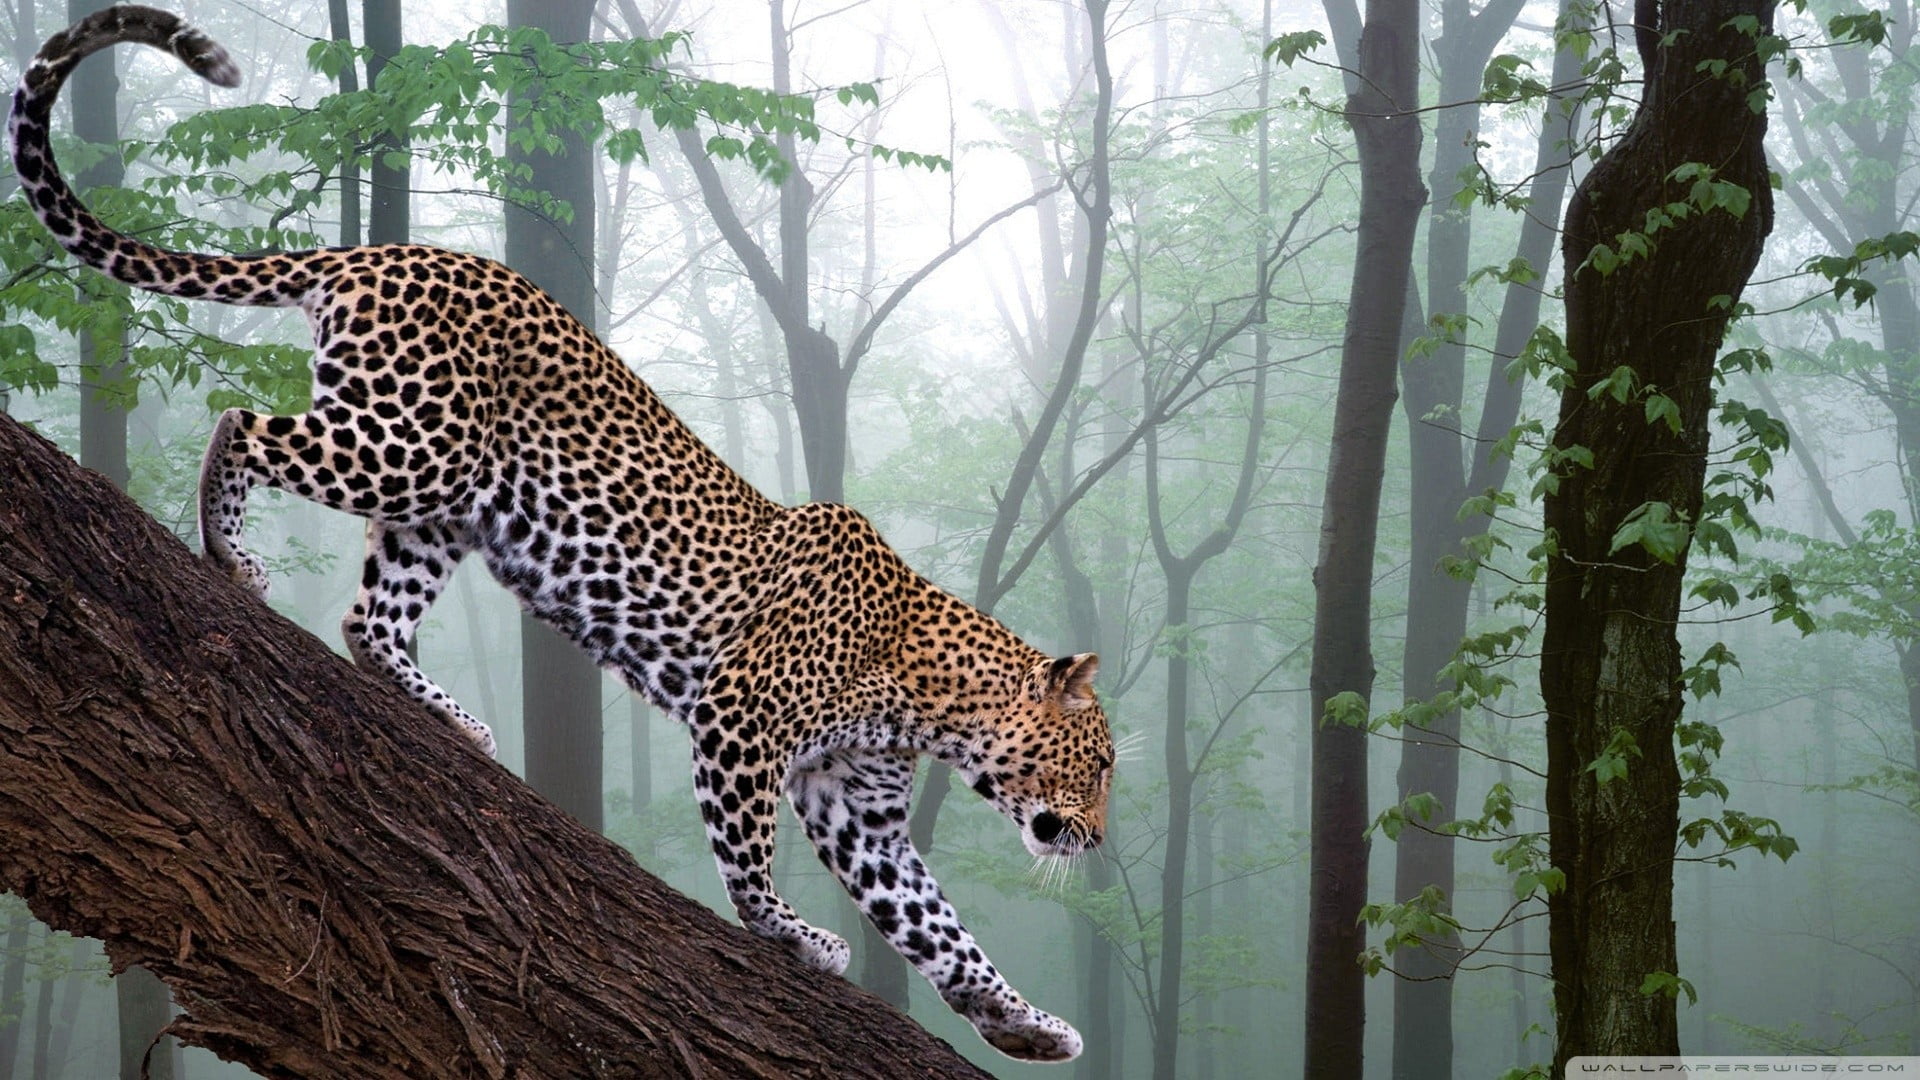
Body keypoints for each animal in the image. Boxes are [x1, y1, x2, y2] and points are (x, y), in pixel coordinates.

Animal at [11, 5, 1116, 1063]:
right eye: (1101, 763)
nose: (1099, 842)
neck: (930, 700)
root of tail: (388, 250)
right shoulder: (740, 719)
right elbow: (748, 857)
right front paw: (792, 936)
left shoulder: (862, 813)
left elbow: (941, 929)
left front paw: (1024, 1023)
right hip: (413, 445)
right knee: (243, 423)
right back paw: (230, 553)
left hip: (445, 508)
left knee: (371, 620)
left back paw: (452, 721)